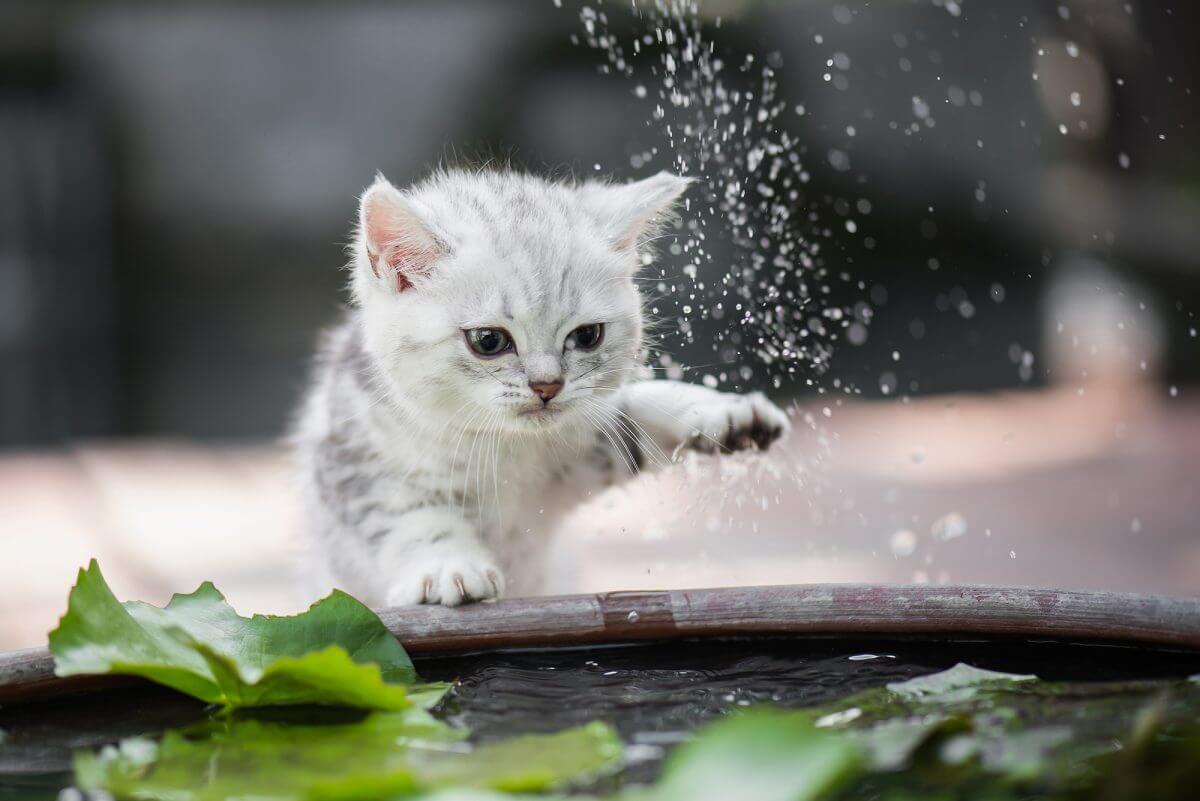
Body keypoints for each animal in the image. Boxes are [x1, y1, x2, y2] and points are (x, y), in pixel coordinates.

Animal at [290, 167, 787, 606]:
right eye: (489, 341)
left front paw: (721, 413)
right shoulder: (354, 461)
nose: (547, 385)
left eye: (587, 336)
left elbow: (634, 418)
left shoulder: (582, 451)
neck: (505, 448)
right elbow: (410, 517)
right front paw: (448, 565)